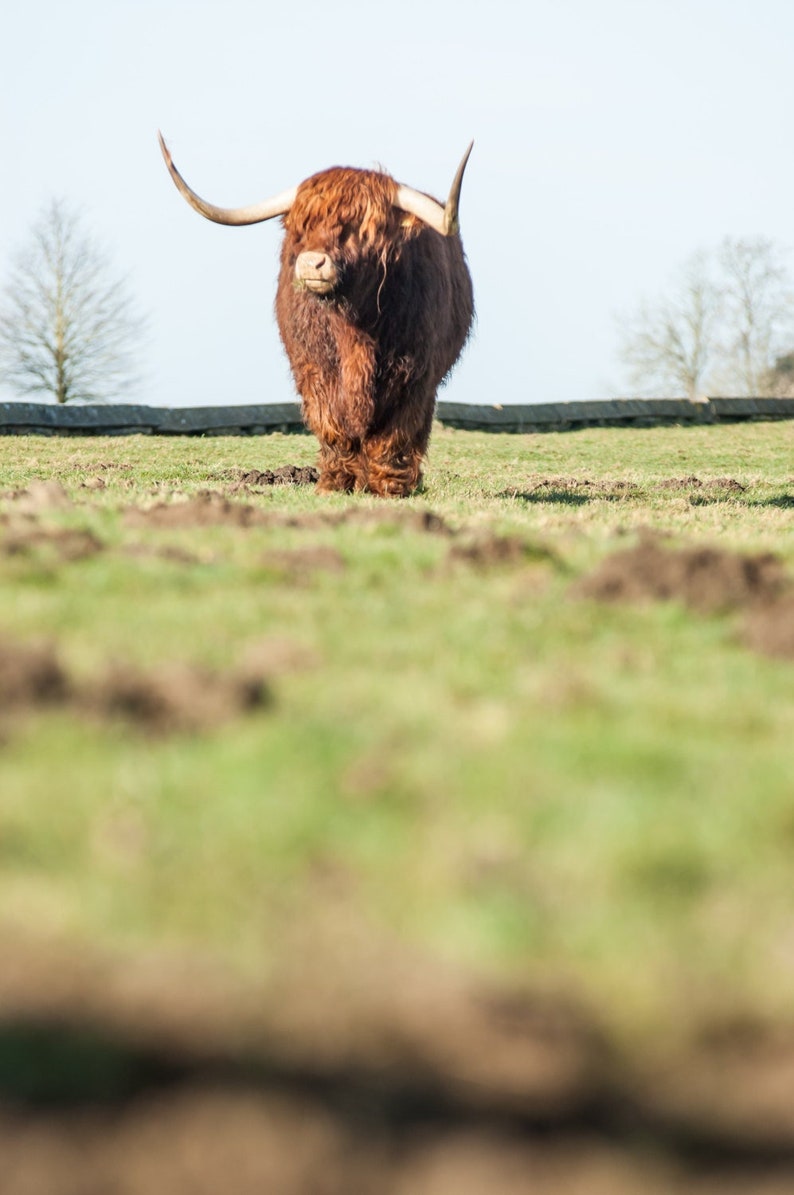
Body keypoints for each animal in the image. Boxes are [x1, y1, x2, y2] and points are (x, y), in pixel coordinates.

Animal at [157, 135, 473, 494]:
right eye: (303, 227)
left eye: (360, 227)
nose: (311, 263)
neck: (355, 329)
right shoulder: (314, 369)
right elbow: (332, 426)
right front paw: (334, 483)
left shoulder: (414, 376)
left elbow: (394, 434)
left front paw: (390, 486)